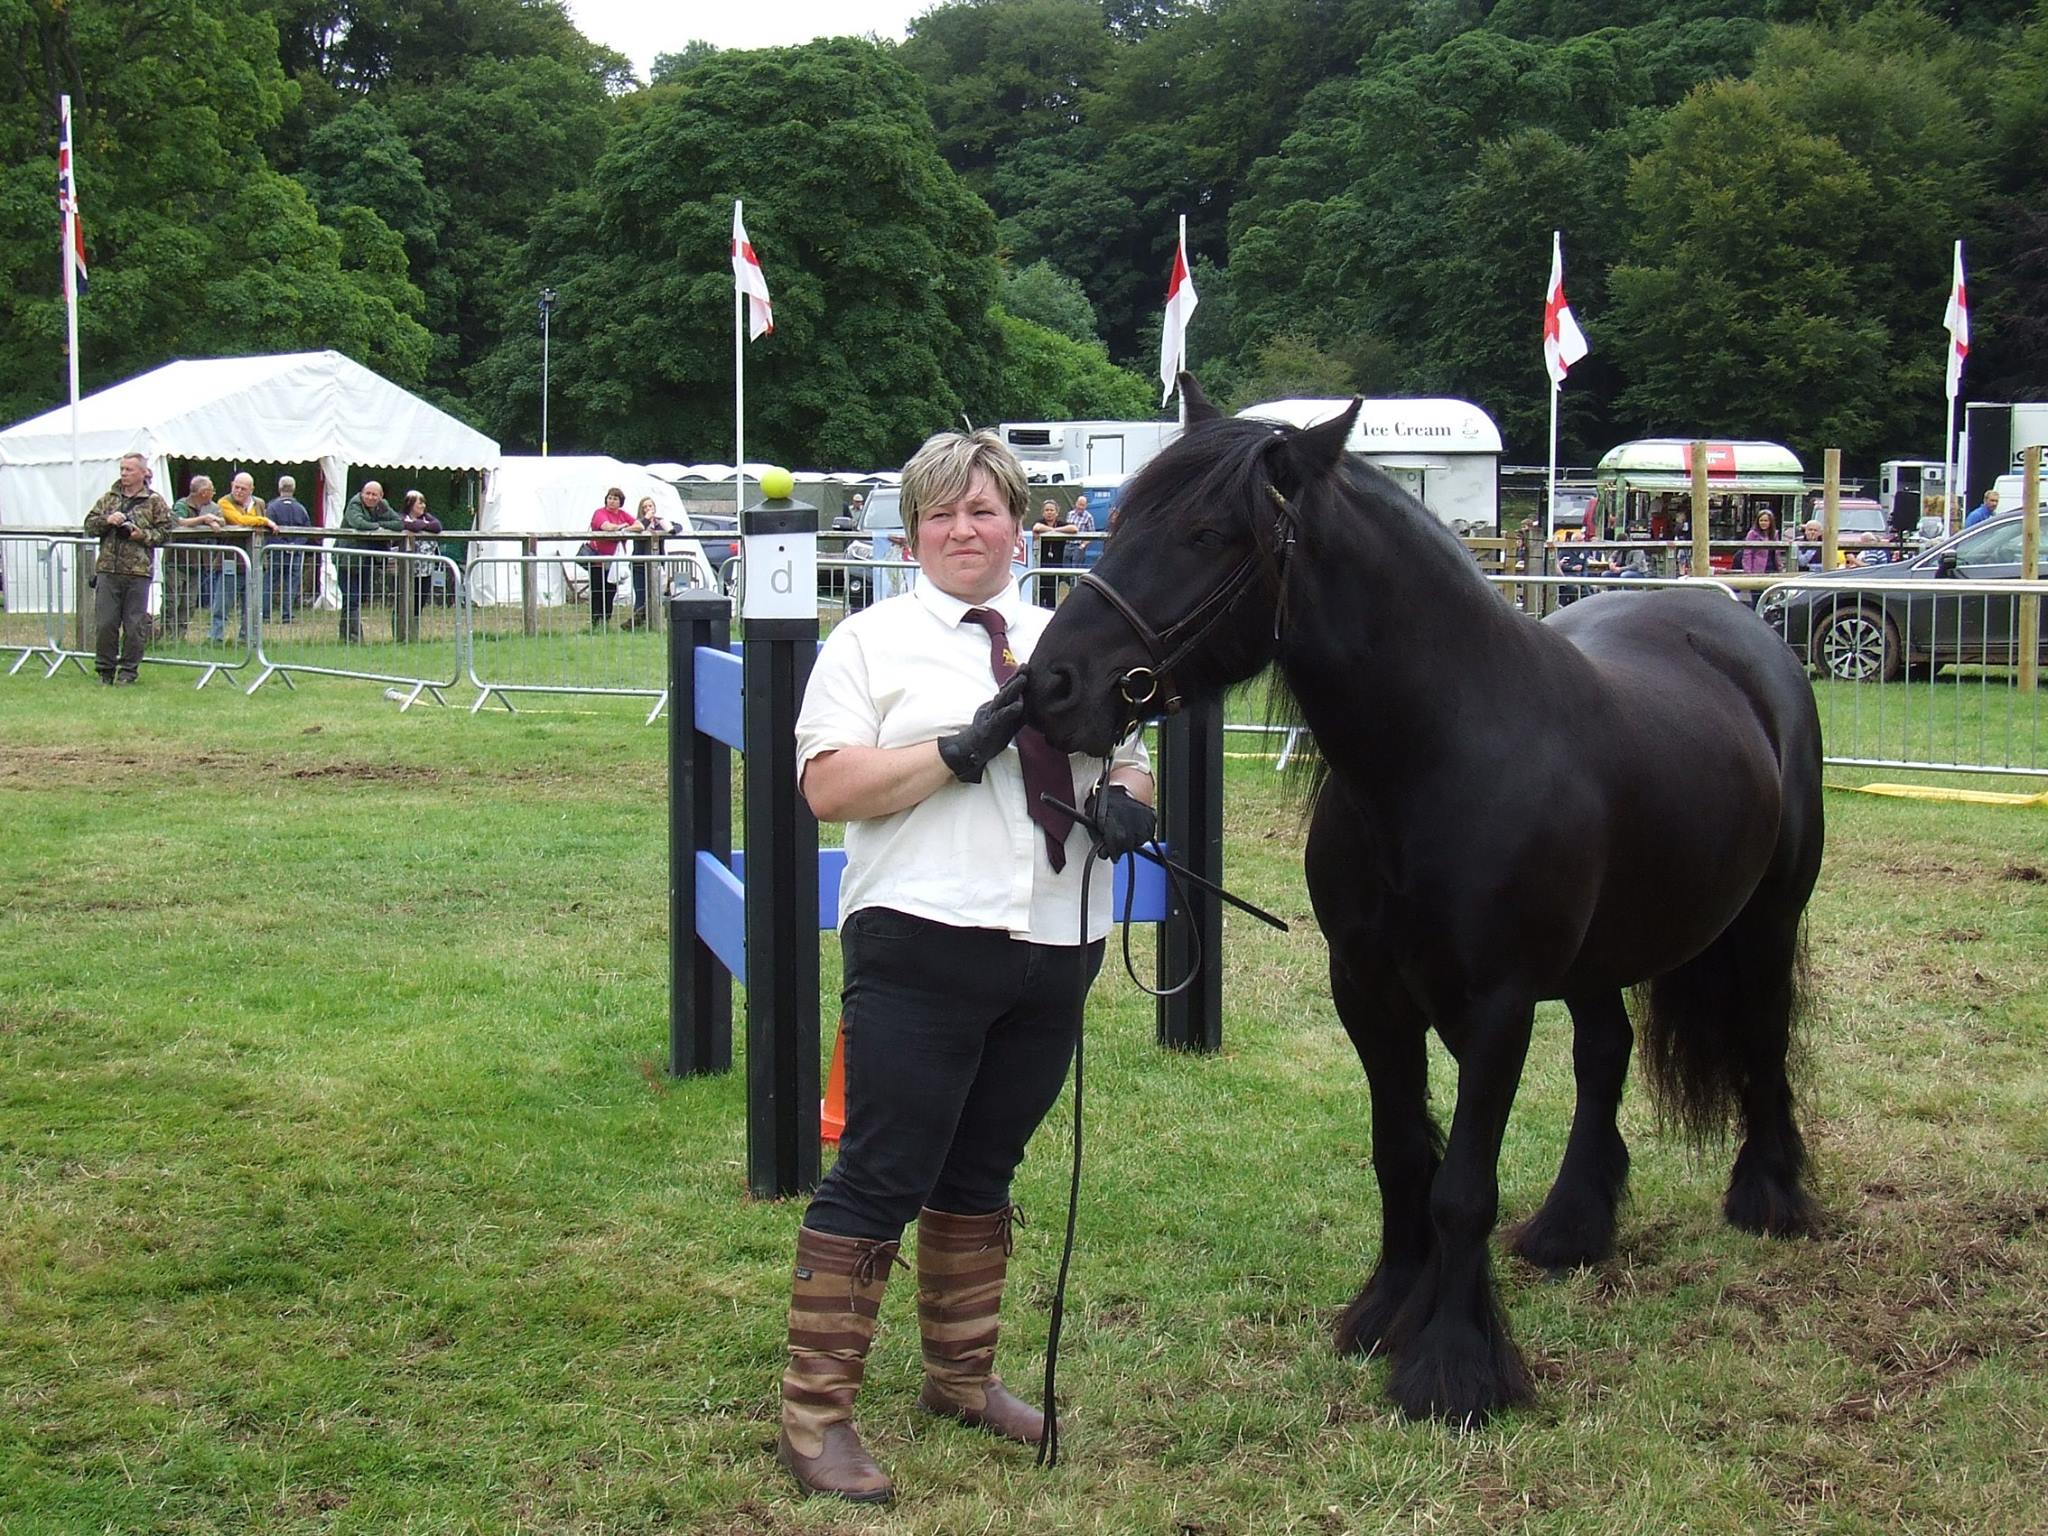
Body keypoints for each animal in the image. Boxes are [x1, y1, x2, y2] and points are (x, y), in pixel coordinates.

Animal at [1024, 382, 1826, 1433]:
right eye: (1116, 524)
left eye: (1205, 533)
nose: (1050, 685)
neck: (1441, 752)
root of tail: (1735, 630)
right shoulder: (1368, 993)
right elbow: (1402, 1154)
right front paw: (1385, 1311)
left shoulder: (1497, 1009)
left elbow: (1462, 1190)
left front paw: (1454, 1367)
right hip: (1597, 960)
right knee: (1605, 1053)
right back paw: (1572, 1225)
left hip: (1768, 919)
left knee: (1764, 1040)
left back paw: (1770, 1198)